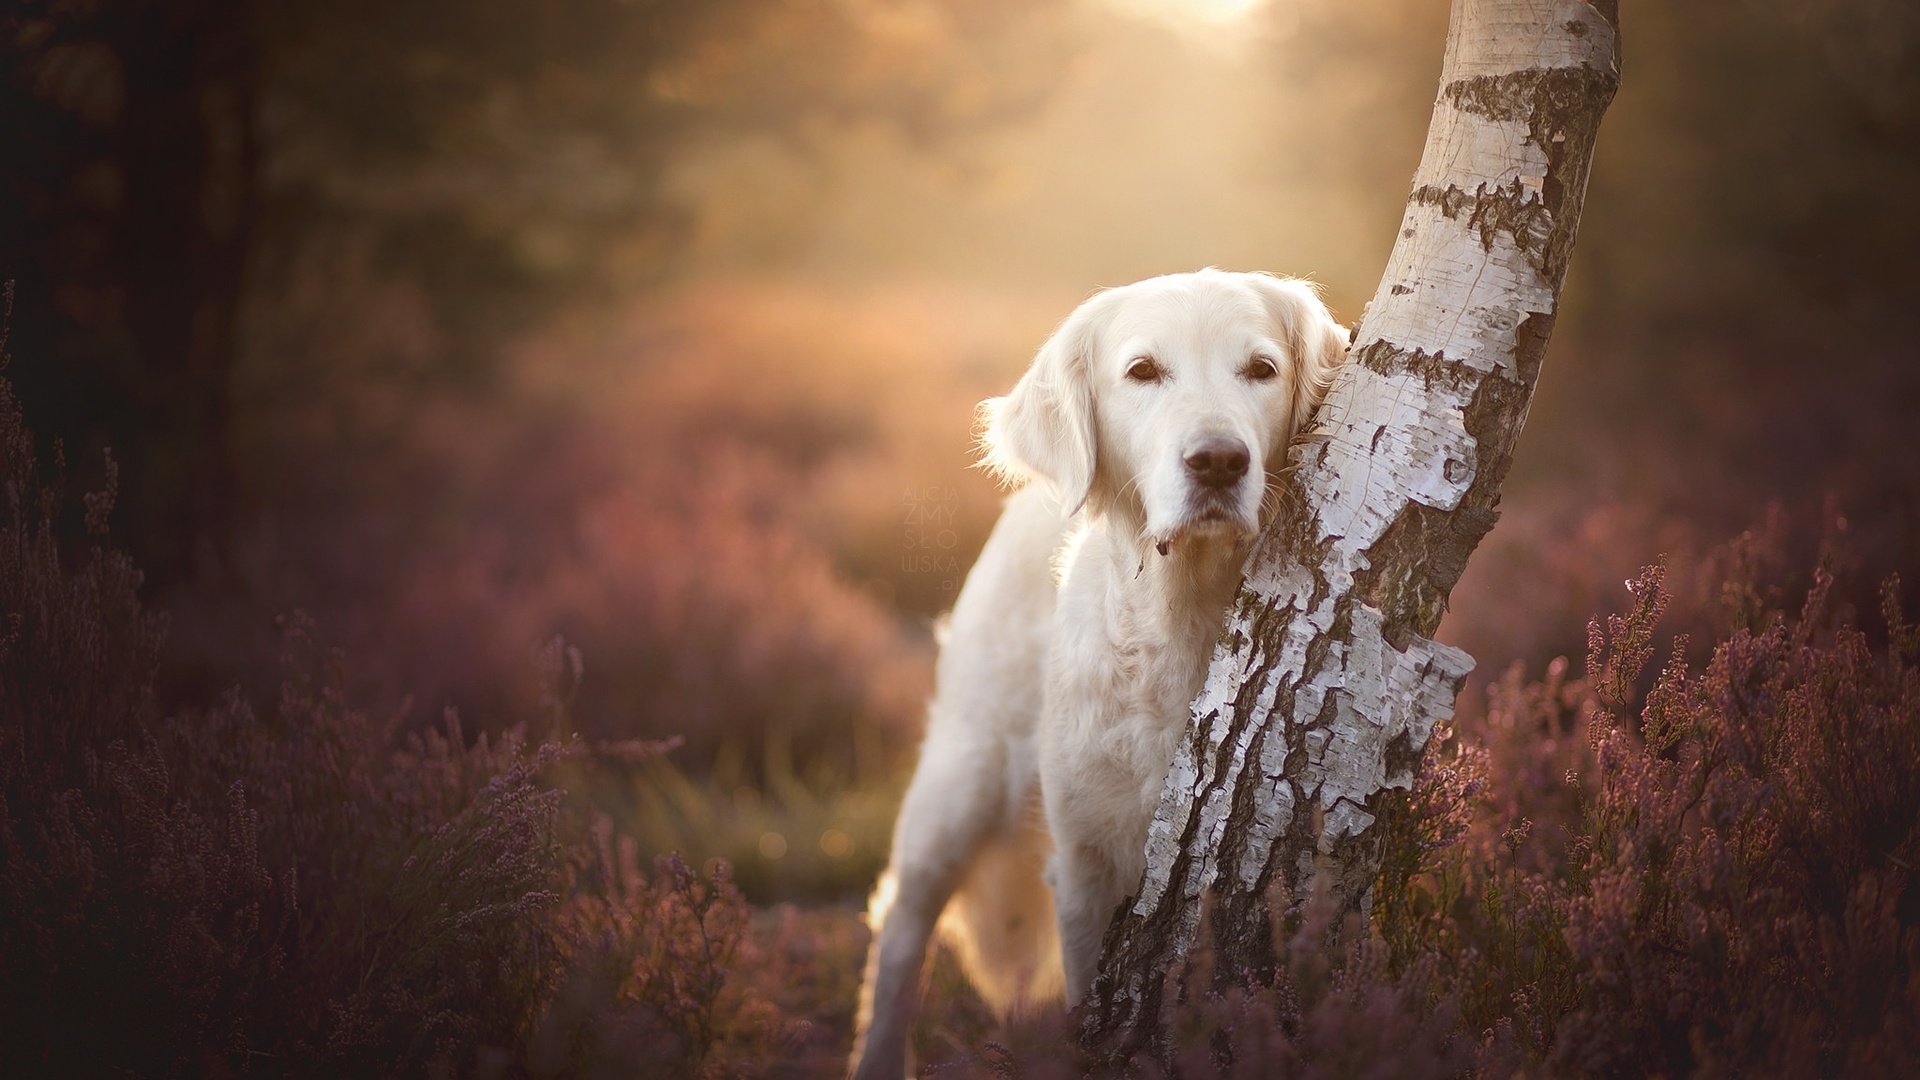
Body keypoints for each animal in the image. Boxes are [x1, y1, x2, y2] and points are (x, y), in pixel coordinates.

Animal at [848, 269, 1344, 1076]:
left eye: (1261, 369)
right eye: (1142, 371)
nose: (1218, 461)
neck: (1182, 618)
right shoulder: (1086, 864)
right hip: (959, 779)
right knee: (901, 927)